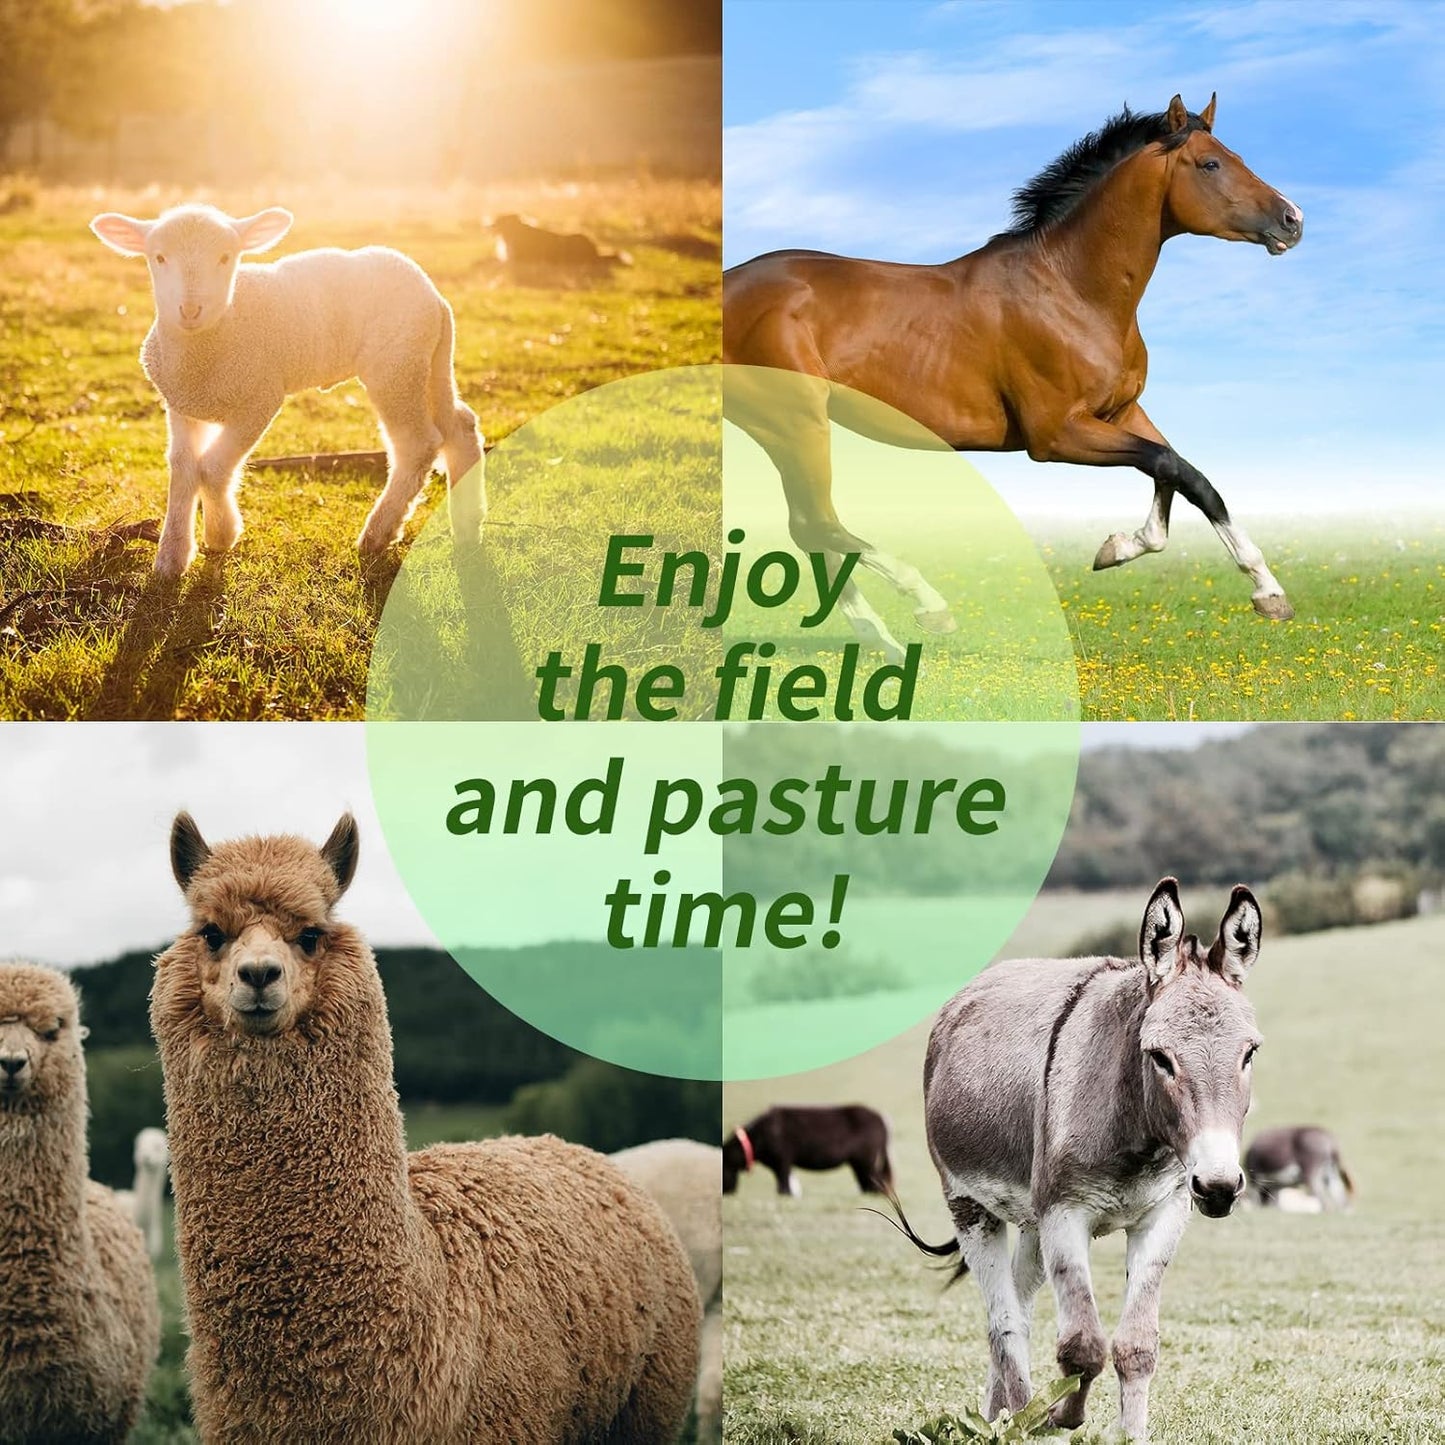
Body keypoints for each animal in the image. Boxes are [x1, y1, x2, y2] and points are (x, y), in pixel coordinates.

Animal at [723, 95, 1304, 661]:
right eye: (1210, 164)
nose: (1292, 220)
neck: (1070, 289)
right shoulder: (1056, 434)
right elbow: (1170, 465)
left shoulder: (1122, 412)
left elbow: (1187, 477)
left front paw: (1259, 590)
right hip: (796, 424)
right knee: (816, 524)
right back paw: (926, 608)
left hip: (785, 430)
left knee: (810, 529)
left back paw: (880, 639)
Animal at [723, 1104, 893, 1197]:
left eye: (724, 1163)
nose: (726, 1192)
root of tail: (881, 1119)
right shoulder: (780, 1164)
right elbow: (782, 1182)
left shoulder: (782, 1160)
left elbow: (783, 1183)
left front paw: (786, 1195)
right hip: (859, 1163)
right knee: (868, 1182)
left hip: (866, 1160)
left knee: (876, 1181)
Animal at [883, 878, 1265, 1440]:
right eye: (1160, 1058)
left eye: (1249, 1053)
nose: (1218, 1187)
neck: (1136, 1134)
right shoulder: (1065, 1215)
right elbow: (1083, 1345)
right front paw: (1062, 1415)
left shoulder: (1162, 1215)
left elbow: (1136, 1346)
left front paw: (1130, 1434)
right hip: (971, 1206)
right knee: (1004, 1324)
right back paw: (1023, 1418)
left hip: (1031, 1223)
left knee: (1019, 1305)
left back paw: (997, 1415)